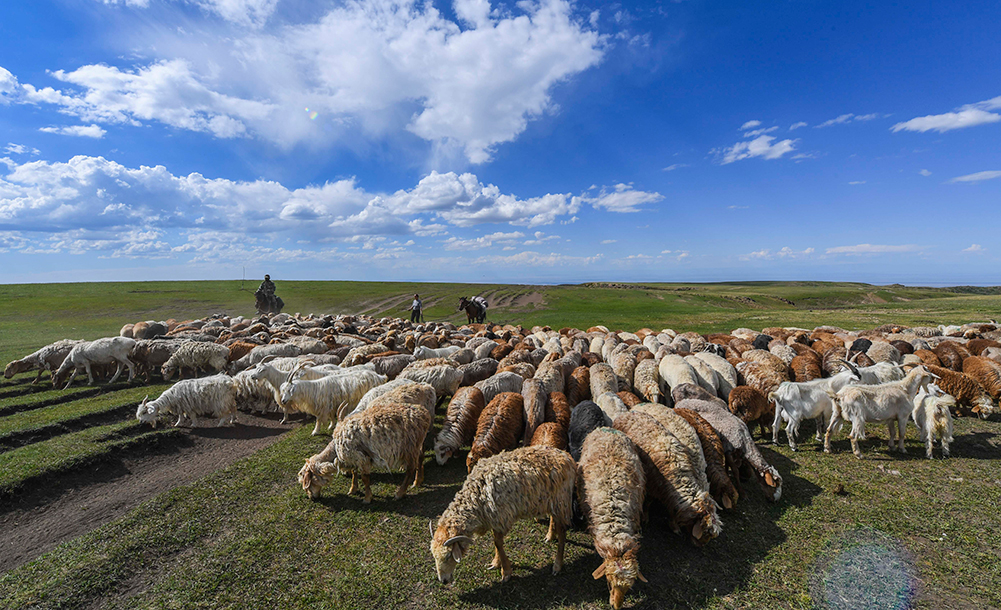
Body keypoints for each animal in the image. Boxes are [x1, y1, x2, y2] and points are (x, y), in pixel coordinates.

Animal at [300, 396, 434, 502]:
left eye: (308, 482)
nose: (312, 498)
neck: (336, 450)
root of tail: (425, 413)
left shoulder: (361, 457)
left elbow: (365, 478)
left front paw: (367, 498)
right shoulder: (355, 457)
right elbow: (354, 472)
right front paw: (353, 489)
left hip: (409, 446)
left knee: (411, 469)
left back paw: (400, 493)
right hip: (416, 443)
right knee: (420, 456)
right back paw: (418, 481)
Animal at [428, 444, 576, 580]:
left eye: (448, 556)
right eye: (434, 556)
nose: (443, 581)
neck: (476, 497)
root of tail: (566, 455)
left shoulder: (501, 517)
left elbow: (498, 543)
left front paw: (506, 572)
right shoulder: (495, 518)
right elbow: (496, 542)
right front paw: (496, 563)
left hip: (561, 499)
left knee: (562, 532)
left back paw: (557, 565)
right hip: (552, 500)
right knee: (553, 518)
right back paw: (550, 535)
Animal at [608, 410, 720, 544]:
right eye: (705, 531)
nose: (699, 545)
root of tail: (628, 413)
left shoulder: (670, 495)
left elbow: (673, 510)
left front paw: (675, 526)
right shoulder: (652, 486)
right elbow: (648, 503)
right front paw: (646, 518)